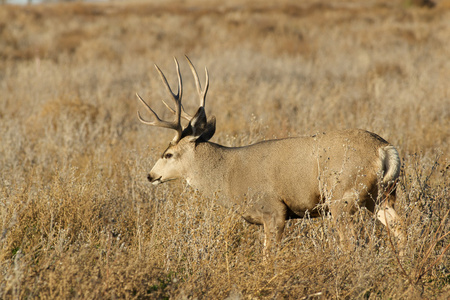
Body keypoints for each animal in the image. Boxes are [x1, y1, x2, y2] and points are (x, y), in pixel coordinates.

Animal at [135, 55, 406, 253]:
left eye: (168, 154)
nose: (150, 175)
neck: (227, 174)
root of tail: (384, 149)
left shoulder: (273, 210)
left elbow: (269, 255)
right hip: (381, 195)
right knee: (400, 227)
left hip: (343, 196)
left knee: (351, 241)